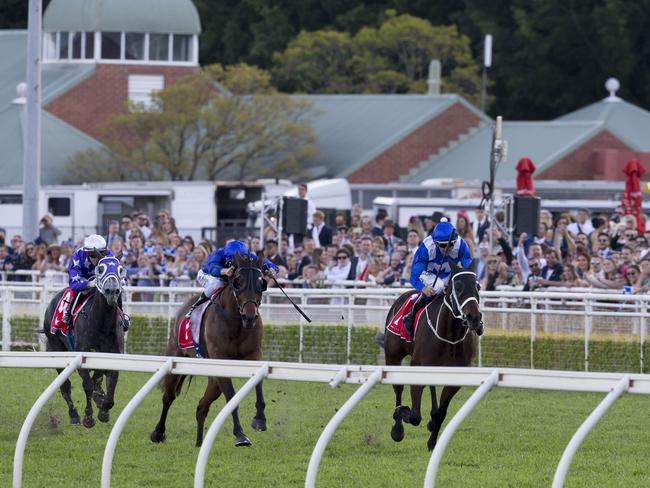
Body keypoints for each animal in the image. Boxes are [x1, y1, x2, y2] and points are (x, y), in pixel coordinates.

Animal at [42, 255, 126, 428]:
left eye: (120, 269)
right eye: (100, 269)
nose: (111, 291)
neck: (101, 323)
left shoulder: (112, 356)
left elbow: (108, 384)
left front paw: (103, 409)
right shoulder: (81, 355)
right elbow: (87, 385)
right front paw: (88, 417)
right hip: (56, 347)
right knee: (66, 386)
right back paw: (74, 415)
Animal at [149, 254, 266, 448]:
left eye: (261, 283)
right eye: (238, 282)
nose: (250, 316)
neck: (236, 321)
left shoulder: (254, 354)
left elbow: (258, 383)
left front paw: (260, 419)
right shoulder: (221, 360)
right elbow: (231, 396)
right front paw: (240, 434)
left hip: (213, 380)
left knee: (201, 406)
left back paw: (199, 442)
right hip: (176, 357)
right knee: (168, 397)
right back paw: (158, 433)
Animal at [384, 262, 480, 452]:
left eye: (478, 286)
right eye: (458, 287)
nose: (474, 318)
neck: (450, 336)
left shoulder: (456, 376)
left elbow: (440, 412)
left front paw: (432, 441)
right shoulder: (418, 366)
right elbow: (414, 416)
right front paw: (402, 413)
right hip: (392, 354)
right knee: (398, 387)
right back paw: (397, 427)